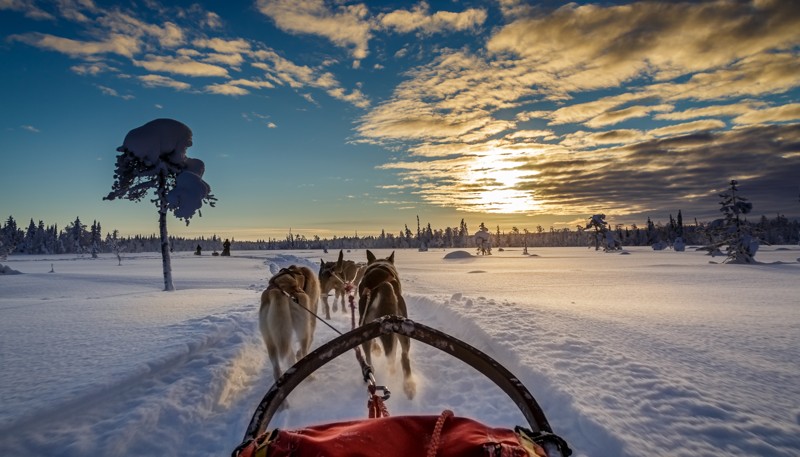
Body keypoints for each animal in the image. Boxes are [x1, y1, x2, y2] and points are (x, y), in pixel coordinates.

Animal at [358, 249, 416, 400]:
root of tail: (382, 285)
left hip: (364, 329)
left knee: (368, 359)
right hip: (402, 332)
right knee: (404, 357)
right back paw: (409, 385)